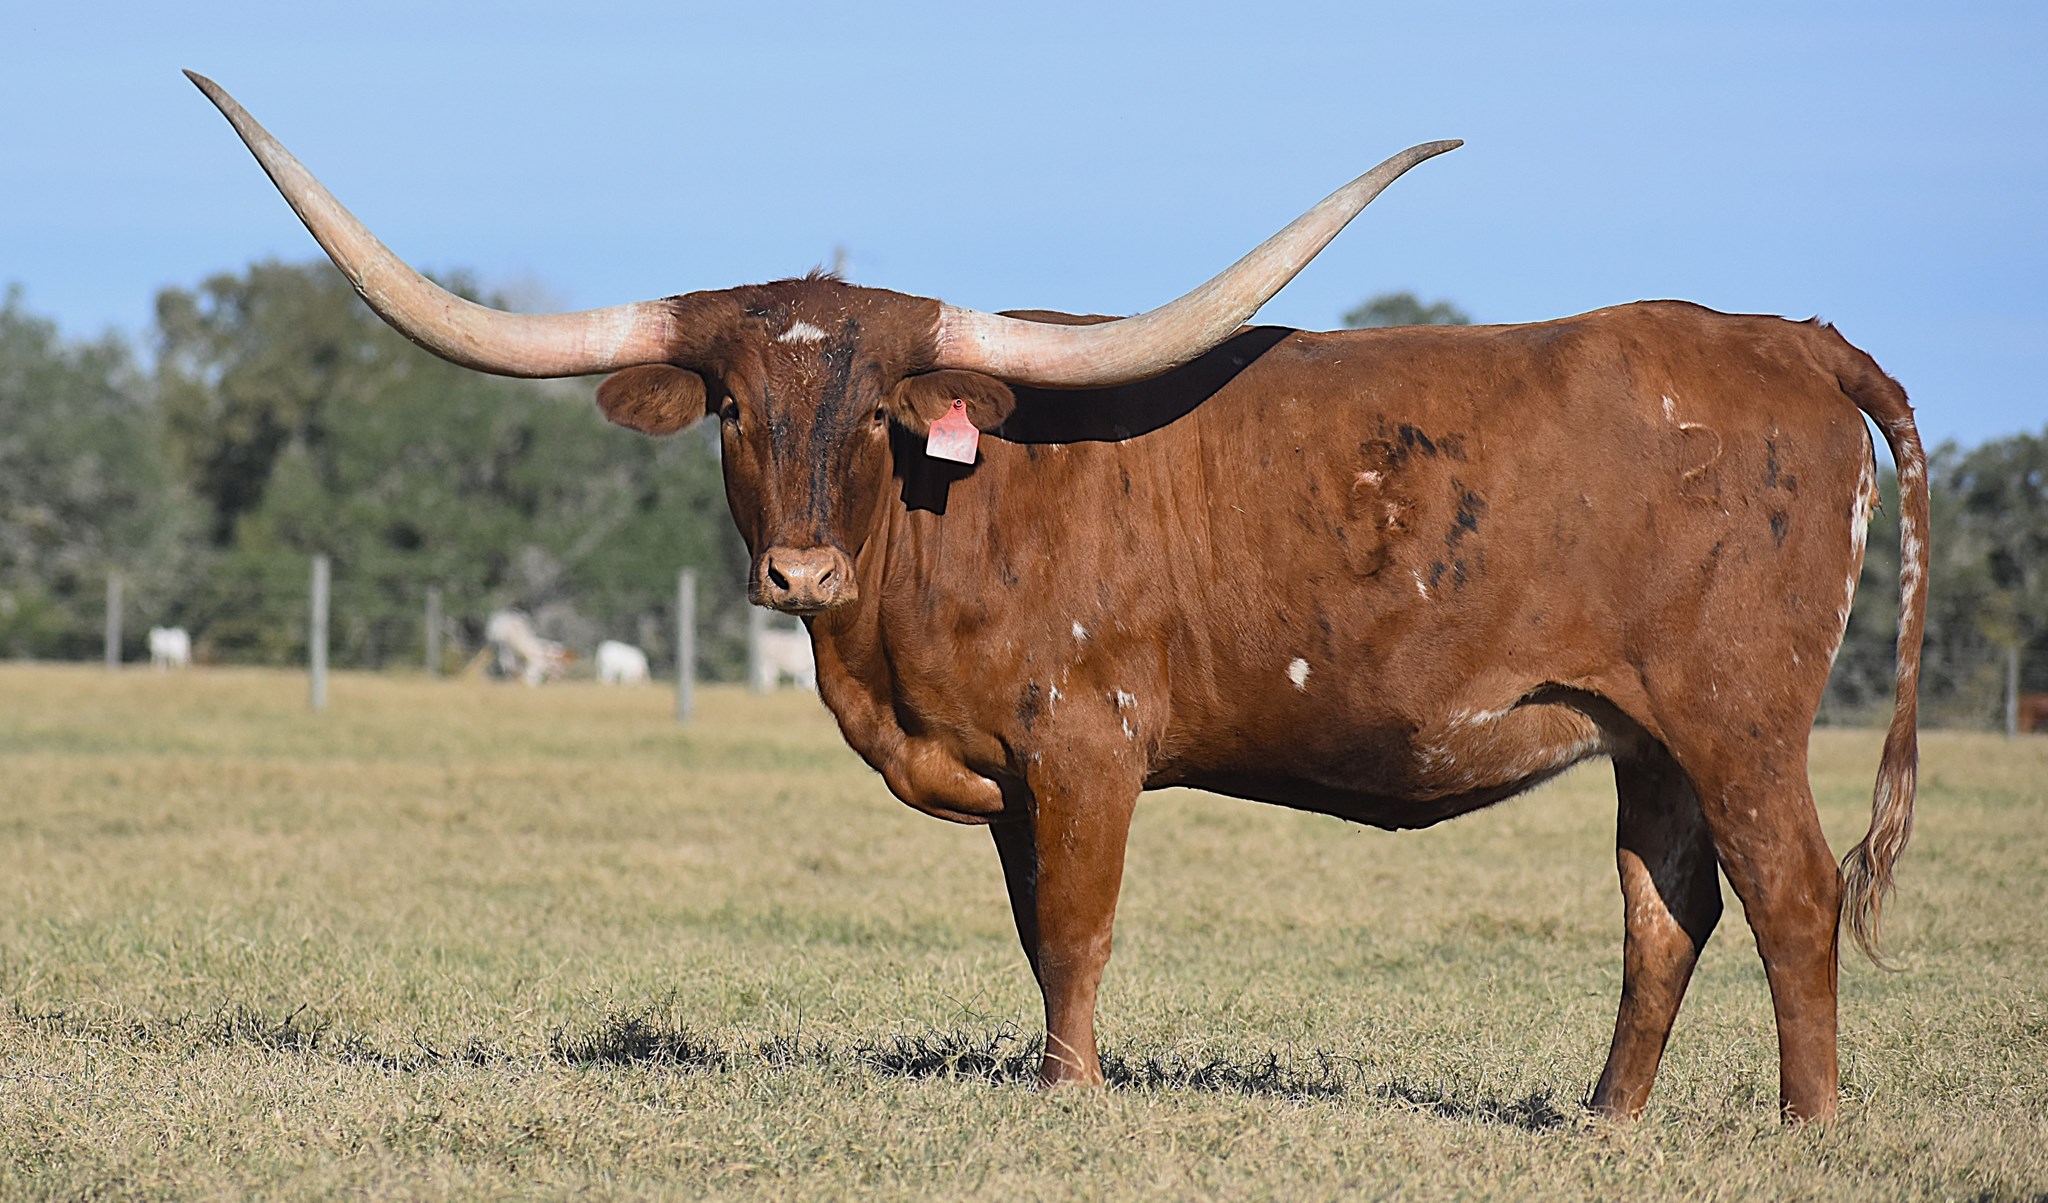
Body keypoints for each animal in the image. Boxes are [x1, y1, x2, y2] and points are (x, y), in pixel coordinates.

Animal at [191, 72, 1928, 1123]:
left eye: (881, 414)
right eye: (736, 410)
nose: (798, 568)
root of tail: (1789, 338)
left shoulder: (1087, 741)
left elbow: (1081, 930)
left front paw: (1074, 1090)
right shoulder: (1014, 777)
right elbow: (1035, 930)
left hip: (1740, 717)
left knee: (1789, 893)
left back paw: (1806, 1124)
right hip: (1646, 735)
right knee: (1666, 903)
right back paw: (1606, 1118)